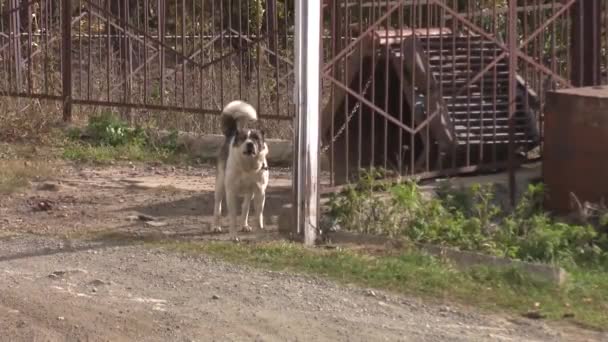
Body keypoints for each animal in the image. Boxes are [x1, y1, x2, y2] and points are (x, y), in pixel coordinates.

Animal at [215, 100, 270, 239]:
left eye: (256, 138)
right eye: (244, 138)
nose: (250, 144)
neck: (248, 166)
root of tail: (231, 134)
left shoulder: (260, 192)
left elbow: (258, 214)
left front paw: (259, 230)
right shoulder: (231, 192)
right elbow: (233, 216)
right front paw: (233, 236)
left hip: (250, 192)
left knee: (245, 207)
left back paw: (244, 225)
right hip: (220, 185)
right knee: (217, 206)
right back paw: (216, 226)